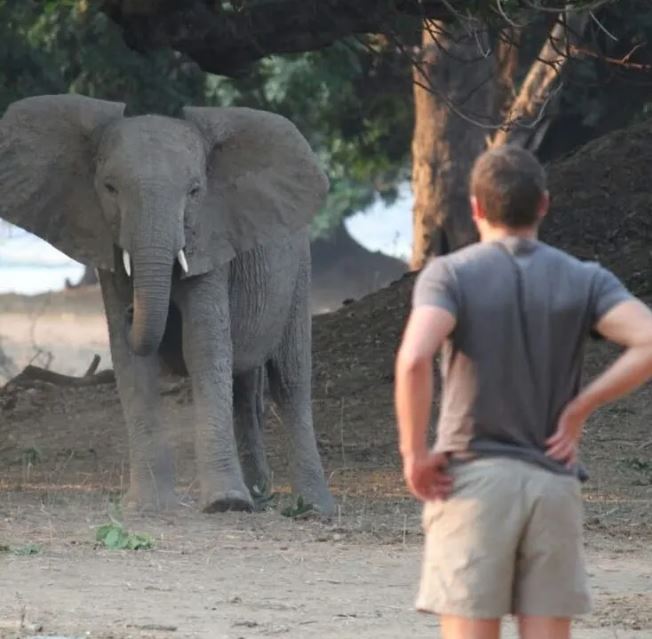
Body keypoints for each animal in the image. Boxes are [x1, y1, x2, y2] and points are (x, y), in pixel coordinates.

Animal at [0, 94, 335, 515]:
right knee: (244, 389)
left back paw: (313, 508)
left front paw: (224, 504)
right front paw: (146, 506)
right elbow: (130, 360)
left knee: (290, 380)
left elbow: (202, 346)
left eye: (195, 191)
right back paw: (260, 494)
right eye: (109, 188)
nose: (132, 311)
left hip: (300, 273)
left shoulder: (210, 238)